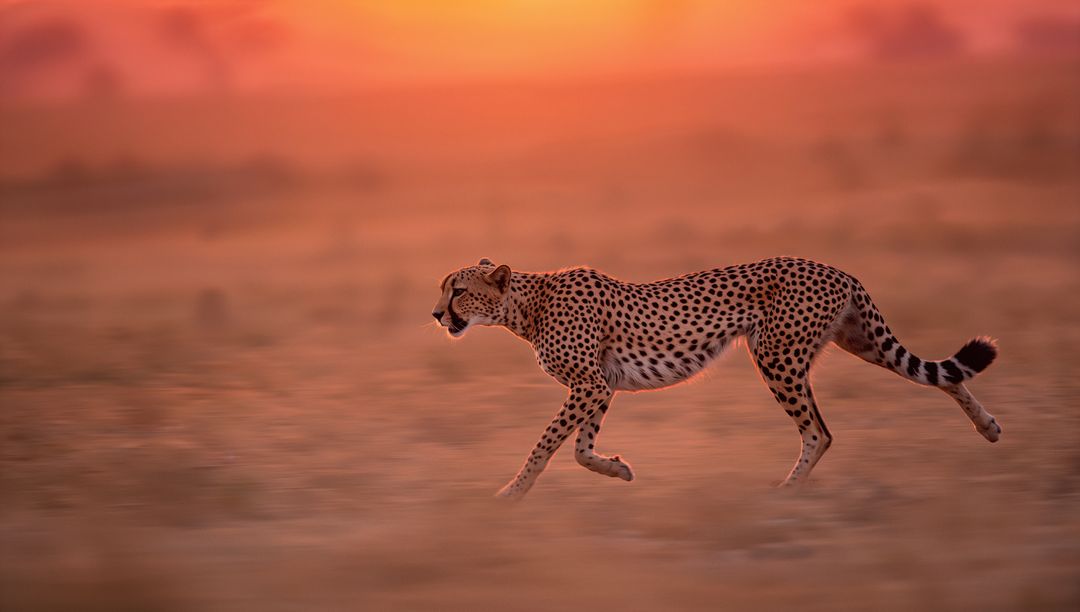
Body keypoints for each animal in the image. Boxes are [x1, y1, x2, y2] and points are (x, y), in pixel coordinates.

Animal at [431, 257, 1000, 500]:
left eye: (457, 290)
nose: (436, 315)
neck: (528, 306)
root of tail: (836, 268)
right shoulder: (602, 383)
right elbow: (579, 448)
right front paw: (620, 469)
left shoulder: (590, 383)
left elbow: (547, 444)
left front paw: (511, 492)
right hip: (859, 341)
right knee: (941, 376)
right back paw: (988, 427)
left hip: (776, 355)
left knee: (819, 431)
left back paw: (785, 491)